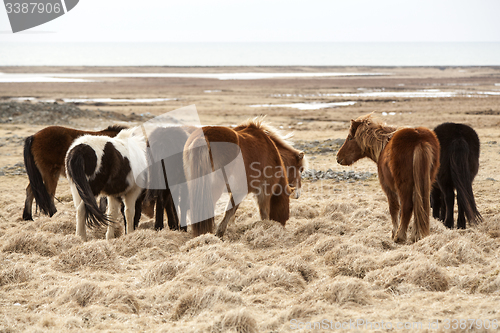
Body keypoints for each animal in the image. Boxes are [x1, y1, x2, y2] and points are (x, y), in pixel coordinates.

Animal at [336, 113, 438, 241]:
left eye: (350, 138)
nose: (338, 157)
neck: (383, 146)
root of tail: (419, 139)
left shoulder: (388, 188)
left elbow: (394, 208)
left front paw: (394, 233)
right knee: (421, 205)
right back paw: (417, 235)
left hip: (403, 185)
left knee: (407, 206)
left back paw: (399, 237)